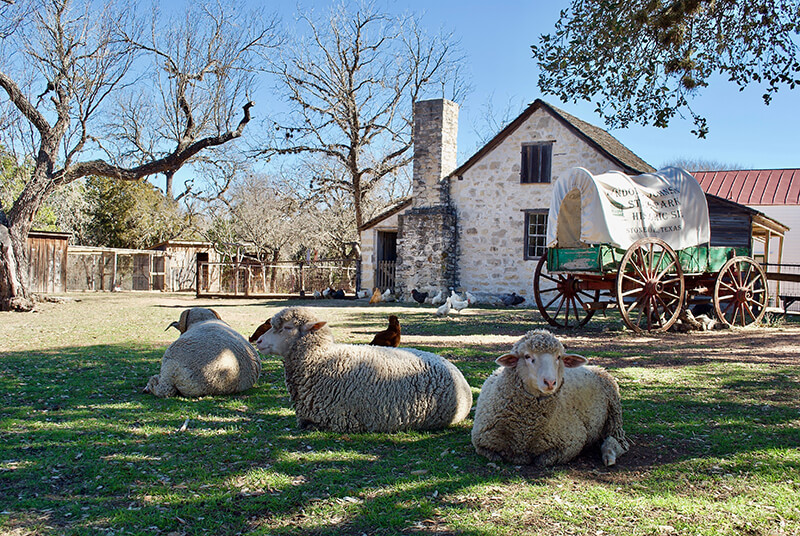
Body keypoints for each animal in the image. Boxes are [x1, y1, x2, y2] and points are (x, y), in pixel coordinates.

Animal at [468, 328, 632, 466]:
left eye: (559, 357)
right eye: (527, 356)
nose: (550, 382)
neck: (524, 431)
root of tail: (595, 367)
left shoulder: (570, 443)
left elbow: (542, 460)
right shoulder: (482, 443)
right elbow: (495, 456)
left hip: (614, 414)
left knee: (617, 441)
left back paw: (609, 456)